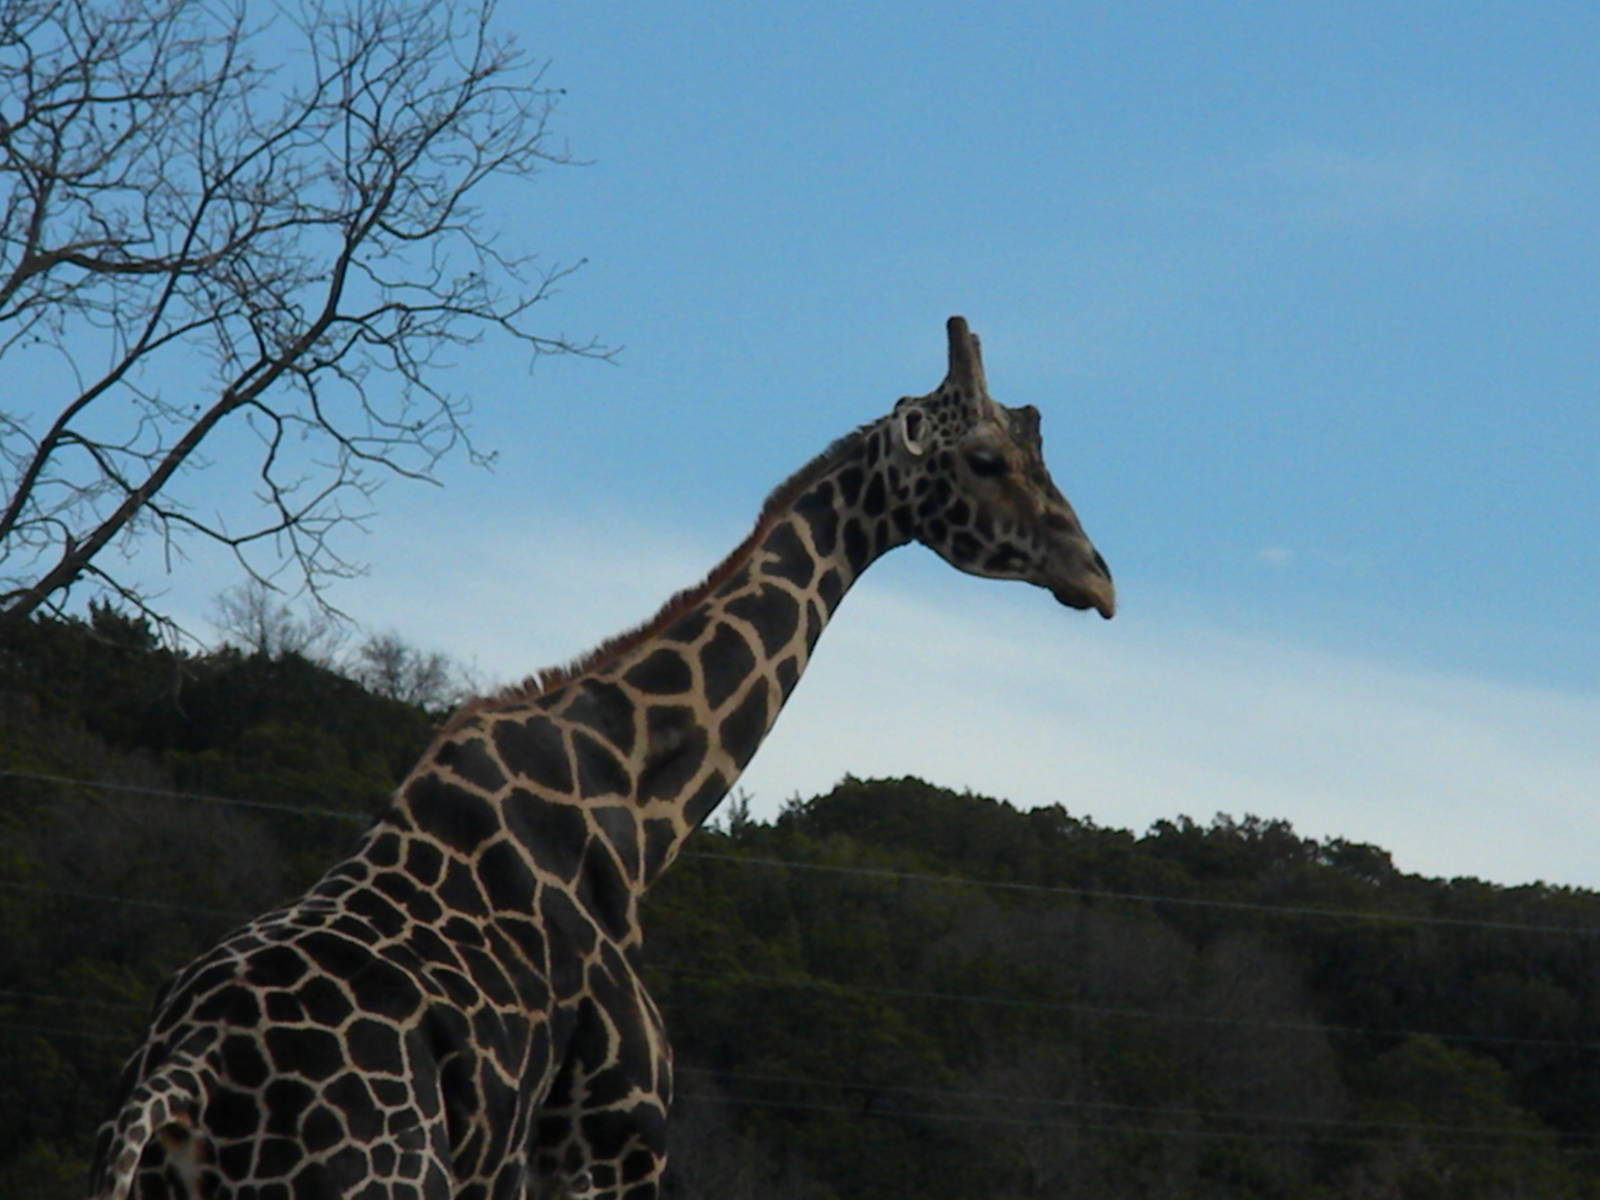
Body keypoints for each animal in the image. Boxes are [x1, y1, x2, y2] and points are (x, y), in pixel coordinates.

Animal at [87, 316, 1115, 1200]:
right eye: (986, 460)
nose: (1098, 578)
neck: (632, 804)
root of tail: (182, 1081)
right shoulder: (615, 1135)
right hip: (378, 1182)